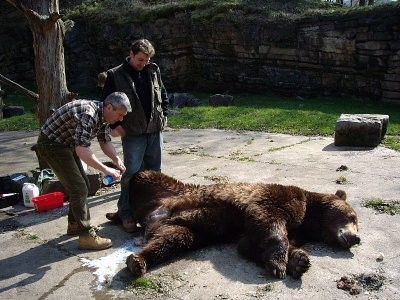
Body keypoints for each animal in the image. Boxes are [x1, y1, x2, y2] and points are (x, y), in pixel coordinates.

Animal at [121, 170, 360, 280]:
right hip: (164, 188)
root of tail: (151, 217)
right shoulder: (280, 199)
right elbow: (269, 220)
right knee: (141, 176)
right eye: (353, 217)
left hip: (181, 226)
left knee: (171, 239)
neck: (311, 218)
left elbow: (249, 245)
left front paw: (299, 261)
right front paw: (279, 264)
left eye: (357, 223)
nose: (357, 238)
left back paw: (138, 261)